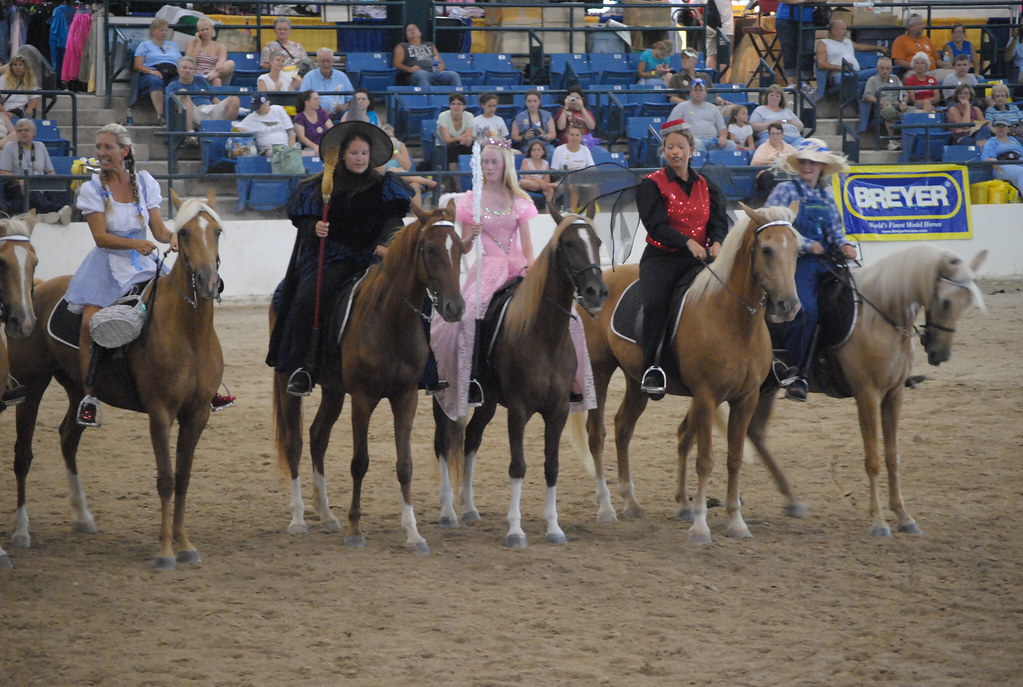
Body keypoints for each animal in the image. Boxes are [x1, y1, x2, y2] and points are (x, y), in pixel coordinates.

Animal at [7, 190, 224, 570]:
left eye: (217, 232)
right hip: (30, 387)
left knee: (68, 437)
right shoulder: (160, 414)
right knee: (23, 455)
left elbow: (183, 479)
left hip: (77, 388)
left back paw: (83, 517)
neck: (189, 333)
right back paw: (22, 533)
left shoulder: (197, 415)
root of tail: (36, 290)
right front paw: (165, 552)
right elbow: (166, 480)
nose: (209, 282)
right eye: (184, 233)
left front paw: (185, 544)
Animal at [271, 204, 465, 554]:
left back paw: (326, 515)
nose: (455, 307)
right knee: (295, 442)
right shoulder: (362, 398)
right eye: (430, 249)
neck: (389, 321)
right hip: (287, 383)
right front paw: (355, 528)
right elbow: (359, 461)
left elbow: (405, 465)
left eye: (459, 248)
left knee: (318, 436)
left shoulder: (405, 397)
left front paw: (413, 533)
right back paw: (299, 519)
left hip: (333, 391)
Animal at [434, 210, 609, 548]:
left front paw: (554, 528)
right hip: (446, 400)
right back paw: (448, 512)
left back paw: (470, 508)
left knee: (471, 439)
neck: (543, 335)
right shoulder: (518, 411)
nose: (597, 291)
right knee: (444, 443)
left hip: (487, 403)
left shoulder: (557, 411)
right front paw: (515, 530)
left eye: (597, 241)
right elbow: (518, 466)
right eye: (568, 243)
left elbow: (551, 467)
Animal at [573, 203, 802, 544]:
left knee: (623, 427)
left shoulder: (746, 399)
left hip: (637, 381)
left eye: (798, 250)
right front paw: (700, 526)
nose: (788, 306)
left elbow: (734, 458)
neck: (733, 320)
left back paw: (631, 501)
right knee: (596, 433)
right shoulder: (706, 397)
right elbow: (705, 460)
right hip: (599, 372)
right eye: (766, 249)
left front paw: (736, 522)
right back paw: (606, 507)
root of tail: (601, 281)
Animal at [713, 244, 987, 537]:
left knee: (754, 432)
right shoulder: (867, 395)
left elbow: (892, 456)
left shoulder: (894, 395)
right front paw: (878, 522)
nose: (941, 354)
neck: (880, 316)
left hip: (765, 388)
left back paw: (791, 500)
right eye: (945, 301)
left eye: (966, 304)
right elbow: (873, 459)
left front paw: (904, 517)